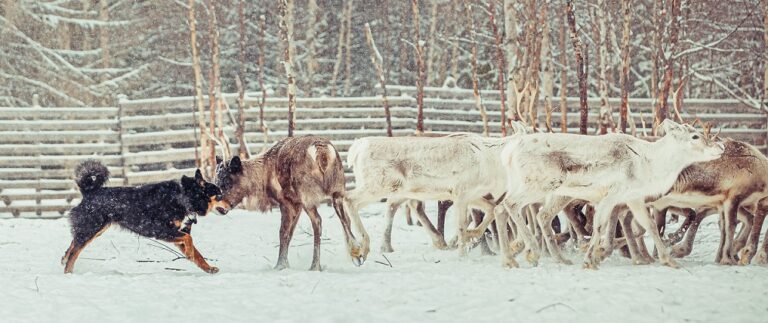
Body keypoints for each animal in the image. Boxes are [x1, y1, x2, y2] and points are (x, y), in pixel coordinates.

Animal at [62, 161, 225, 274]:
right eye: (219, 195)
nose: (230, 204)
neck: (183, 197)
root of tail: (89, 192)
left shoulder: (176, 234)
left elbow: (198, 254)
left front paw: (208, 268)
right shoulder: (162, 231)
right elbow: (189, 240)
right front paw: (191, 254)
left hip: (94, 230)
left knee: (72, 246)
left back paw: (63, 260)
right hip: (91, 228)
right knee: (74, 252)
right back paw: (68, 273)